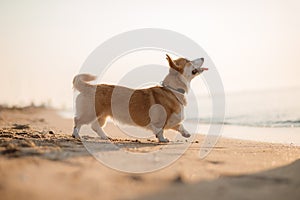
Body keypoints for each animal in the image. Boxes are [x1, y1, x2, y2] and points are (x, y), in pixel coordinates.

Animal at [73, 54, 209, 143]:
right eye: (188, 61)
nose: (203, 57)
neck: (173, 90)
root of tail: (89, 87)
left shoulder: (173, 119)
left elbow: (179, 125)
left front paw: (186, 133)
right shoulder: (160, 120)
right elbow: (160, 130)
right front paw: (163, 139)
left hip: (102, 116)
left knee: (95, 126)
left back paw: (105, 137)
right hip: (91, 113)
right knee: (78, 120)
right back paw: (76, 135)